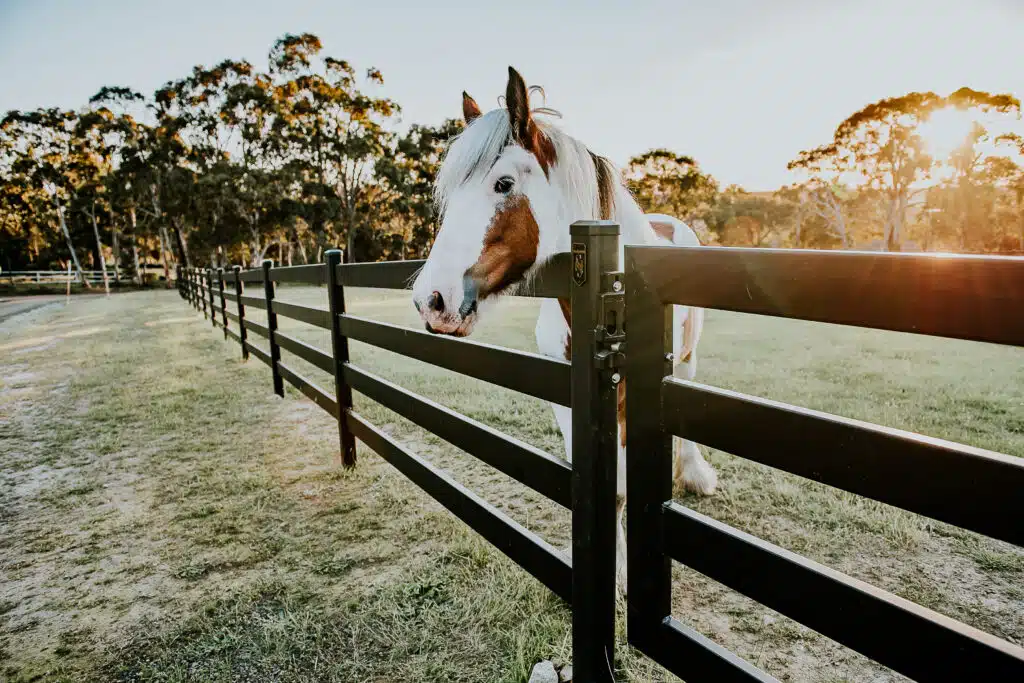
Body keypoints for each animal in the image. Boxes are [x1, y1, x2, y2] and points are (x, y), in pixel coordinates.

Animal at [410, 66, 718, 593]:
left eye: (503, 183)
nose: (432, 301)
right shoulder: (565, 392)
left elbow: (619, 491)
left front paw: (617, 573)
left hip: (687, 362)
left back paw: (694, 472)